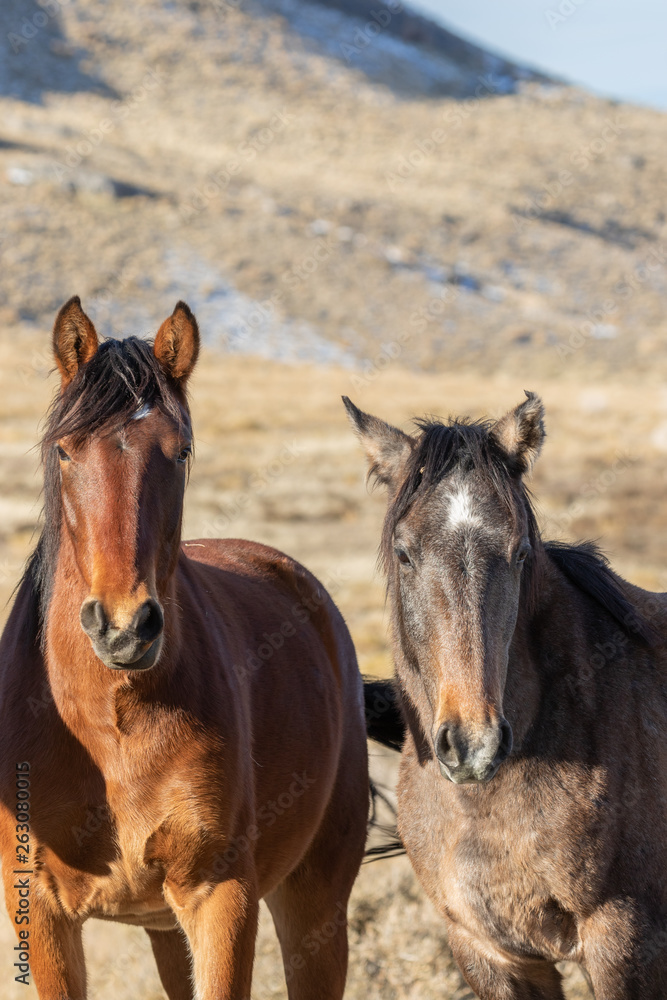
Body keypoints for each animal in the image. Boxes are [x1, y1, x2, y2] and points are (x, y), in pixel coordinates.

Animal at [0, 296, 368, 1000]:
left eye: (181, 450)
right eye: (64, 450)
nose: (123, 627)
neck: (107, 726)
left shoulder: (220, 896)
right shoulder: (43, 908)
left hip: (316, 904)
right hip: (164, 928)